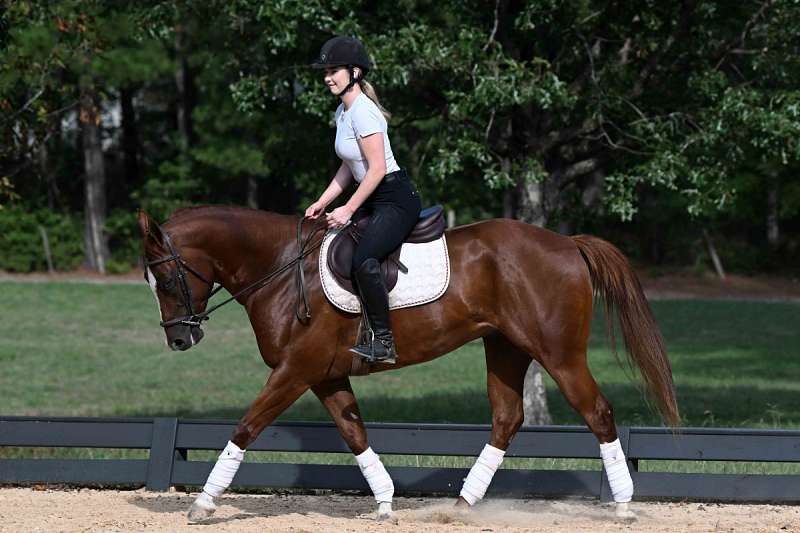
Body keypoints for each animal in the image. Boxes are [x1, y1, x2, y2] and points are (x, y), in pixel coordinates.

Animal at [136, 205, 678, 522]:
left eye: (166, 278)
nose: (180, 338)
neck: (282, 267)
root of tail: (568, 243)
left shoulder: (295, 370)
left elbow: (247, 427)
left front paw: (204, 501)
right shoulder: (325, 375)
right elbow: (354, 433)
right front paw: (385, 502)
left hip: (559, 354)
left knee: (598, 413)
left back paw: (624, 506)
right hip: (506, 347)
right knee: (507, 418)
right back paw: (462, 504)